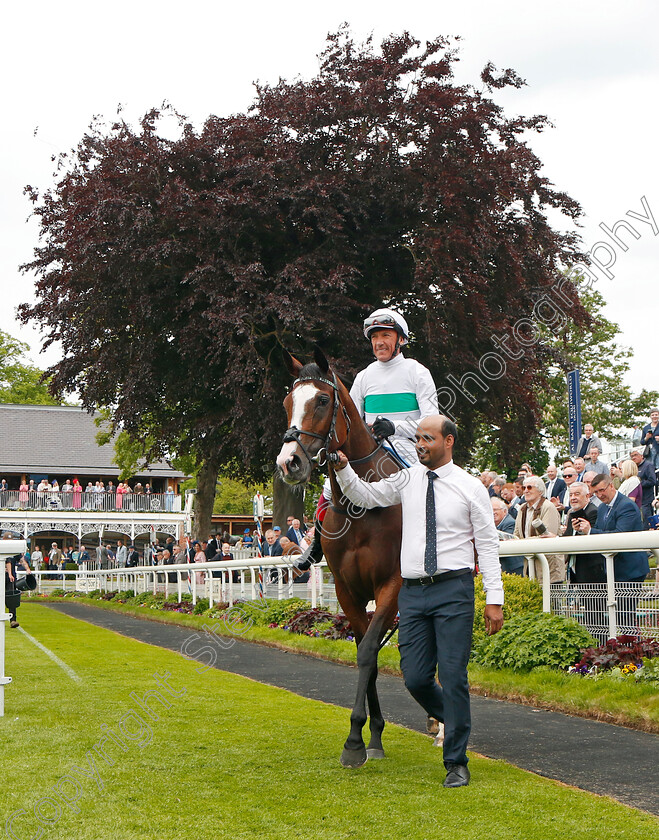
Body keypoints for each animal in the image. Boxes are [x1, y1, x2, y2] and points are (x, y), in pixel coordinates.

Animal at [278, 348, 402, 768]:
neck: (362, 505)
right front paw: (371, 736)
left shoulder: (391, 585)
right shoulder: (349, 590)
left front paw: (355, 741)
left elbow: (367, 653)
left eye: (321, 400)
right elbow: (369, 654)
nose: (289, 462)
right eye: (288, 402)